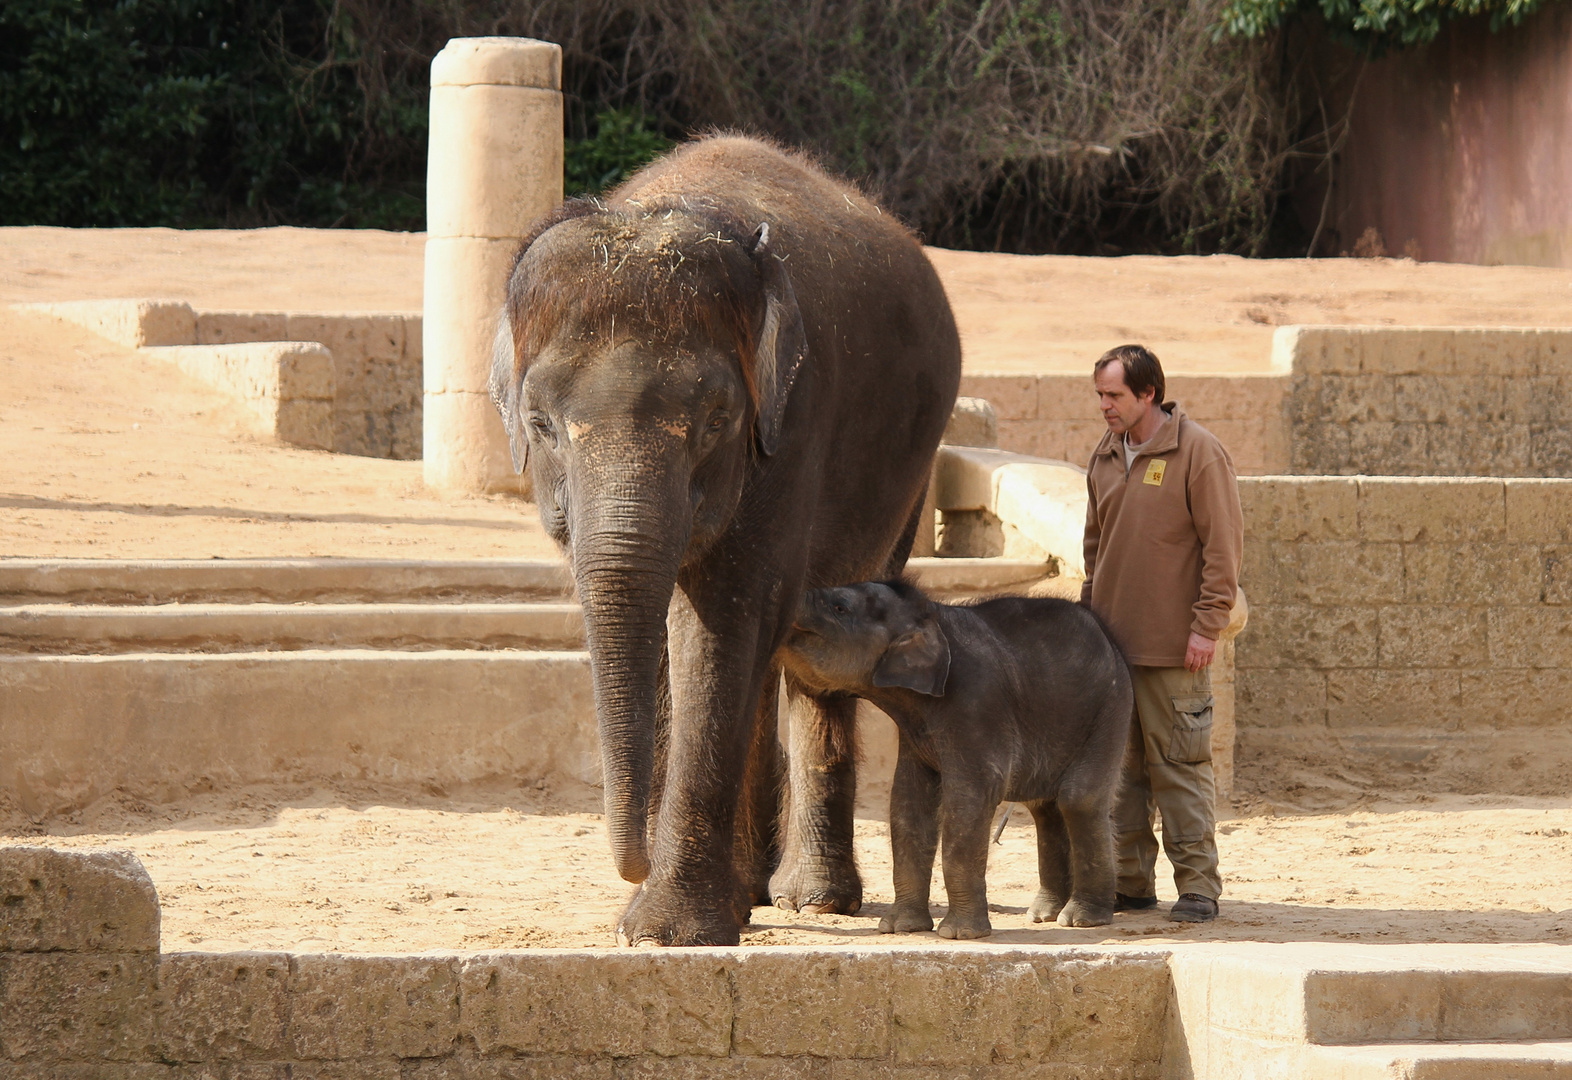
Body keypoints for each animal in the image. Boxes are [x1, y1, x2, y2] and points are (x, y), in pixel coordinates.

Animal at [487, 135, 955, 943]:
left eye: (715, 421)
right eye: (541, 424)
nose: (632, 863)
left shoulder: (793, 425)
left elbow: (725, 620)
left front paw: (664, 931)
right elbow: (669, 632)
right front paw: (667, 915)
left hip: (910, 475)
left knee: (820, 650)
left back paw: (811, 899)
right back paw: (754, 890)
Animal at [782, 578, 1131, 943]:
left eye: (839, 607)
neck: (932, 615)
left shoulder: (976, 703)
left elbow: (973, 796)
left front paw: (960, 934)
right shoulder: (914, 732)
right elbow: (907, 803)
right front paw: (901, 928)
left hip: (1111, 708)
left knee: (1078, 800)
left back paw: (1081, 919)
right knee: (1044, 808)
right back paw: (1043, 914)